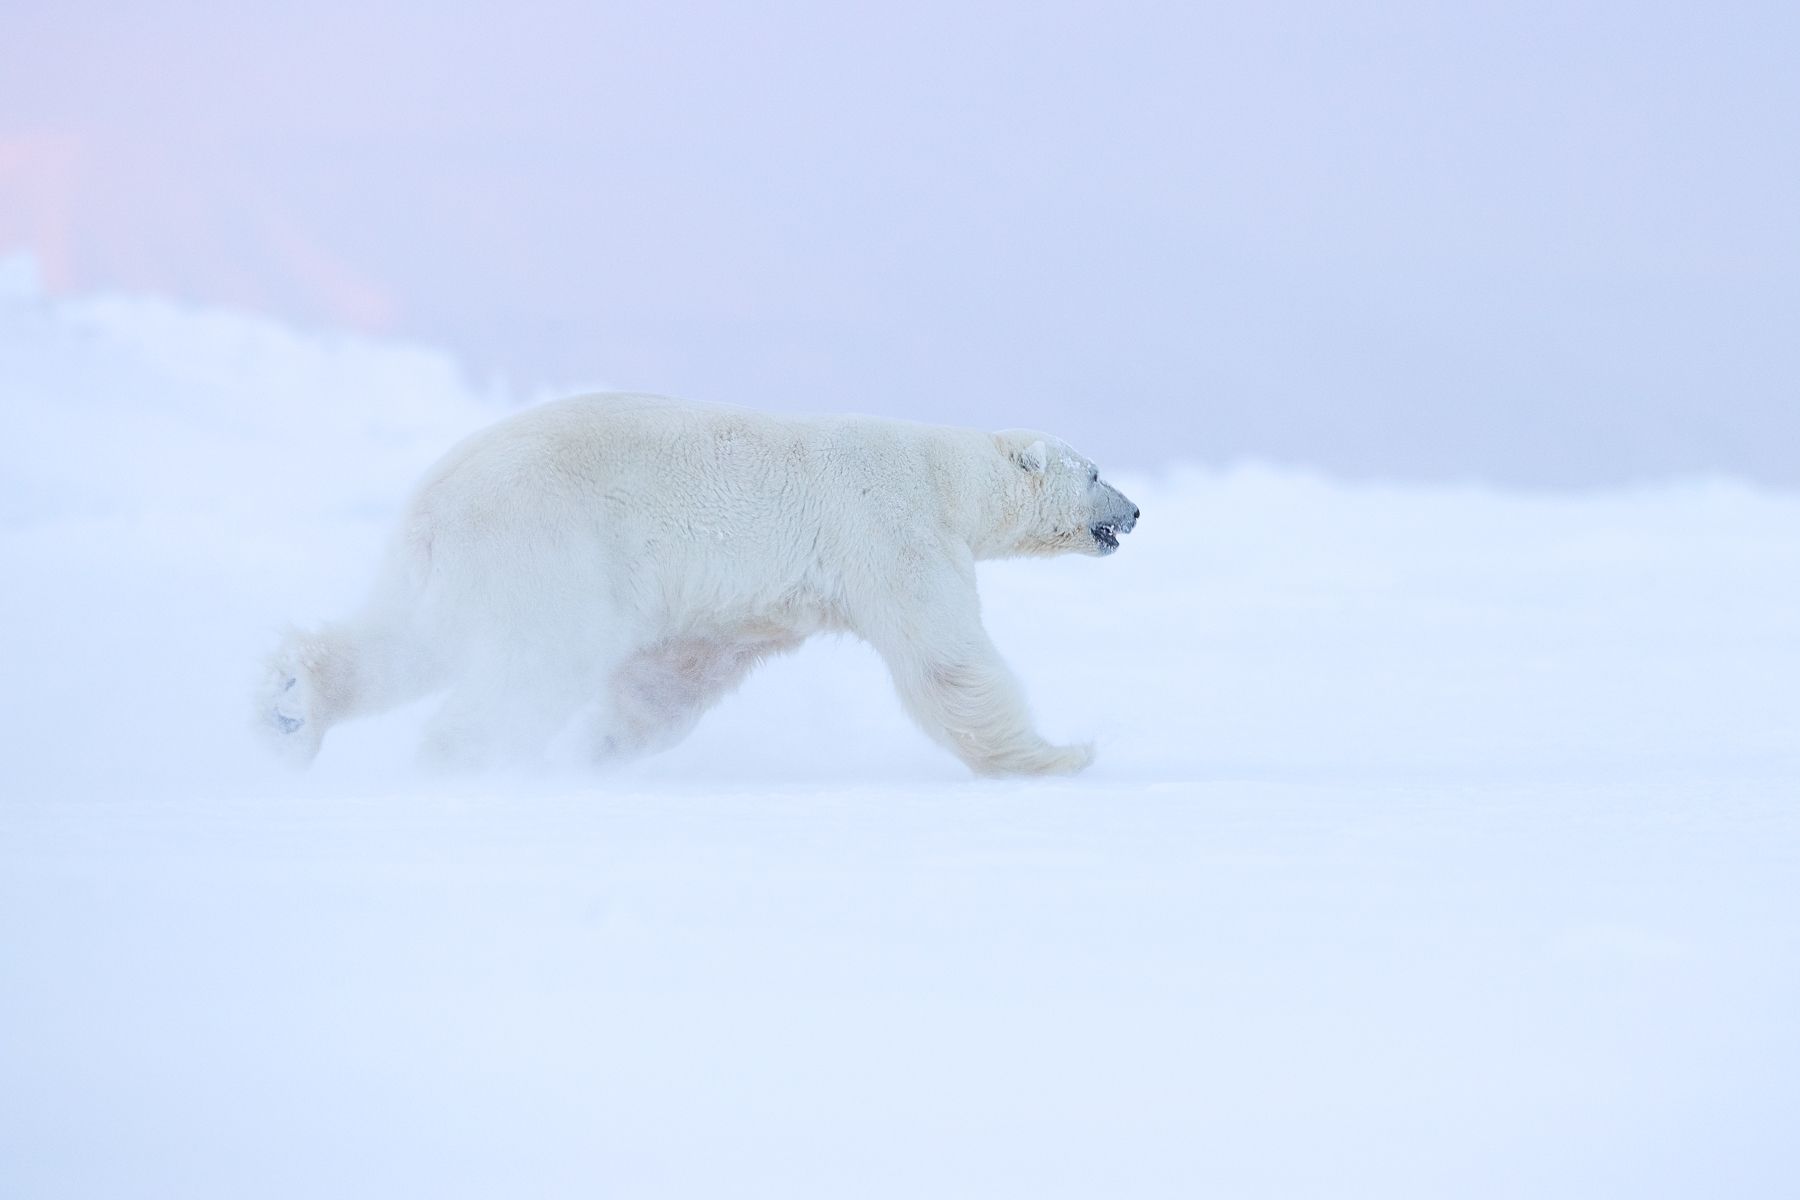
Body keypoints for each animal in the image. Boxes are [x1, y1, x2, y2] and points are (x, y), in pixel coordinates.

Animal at [261, 394, 1137, 780]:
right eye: (1096, 469)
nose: (1133, 510)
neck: (944, 473)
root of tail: (439, 493)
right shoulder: (892, 530)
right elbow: (945, 659)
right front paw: (1060, 754)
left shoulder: (744, 608)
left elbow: (673, 677)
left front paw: (604, 751)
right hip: (548, 542)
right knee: (535, 661)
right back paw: (469, 760)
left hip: (451, 562)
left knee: (412, 638)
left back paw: (292, 707)